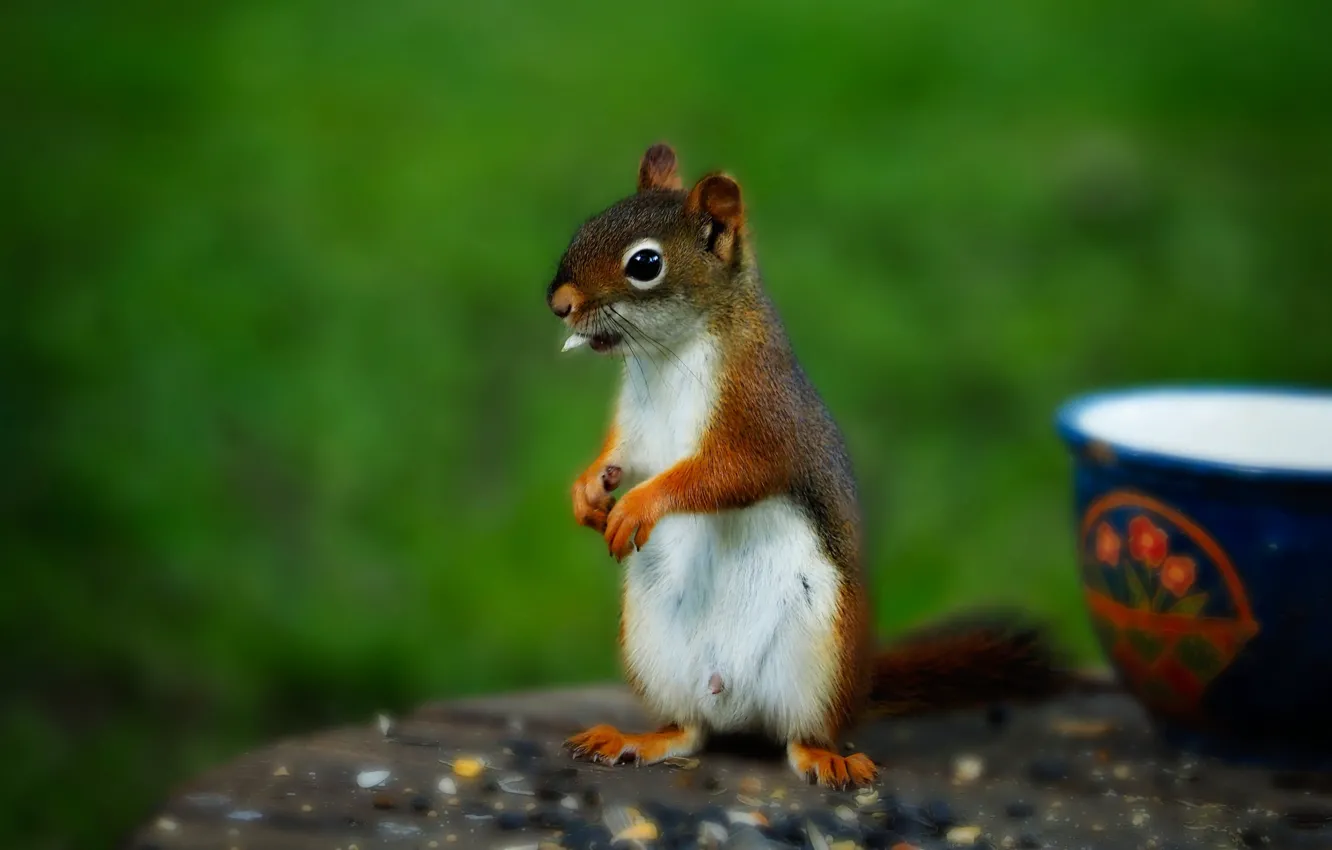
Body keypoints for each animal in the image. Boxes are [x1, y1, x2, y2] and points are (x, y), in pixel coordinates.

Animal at [544, 143, 1075, 789]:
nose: (559, 304)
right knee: (690, 730)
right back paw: (635, 738)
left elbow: (725, 475)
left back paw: (826, 758)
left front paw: (641, 504)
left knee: (801, 734)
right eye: (589, 222)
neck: (671, 355)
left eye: (645, 263)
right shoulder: (638, 425)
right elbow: (623, 454)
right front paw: (587, 491)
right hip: (656, 650)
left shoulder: (762, 417)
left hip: (821, 655)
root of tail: (736, 702)